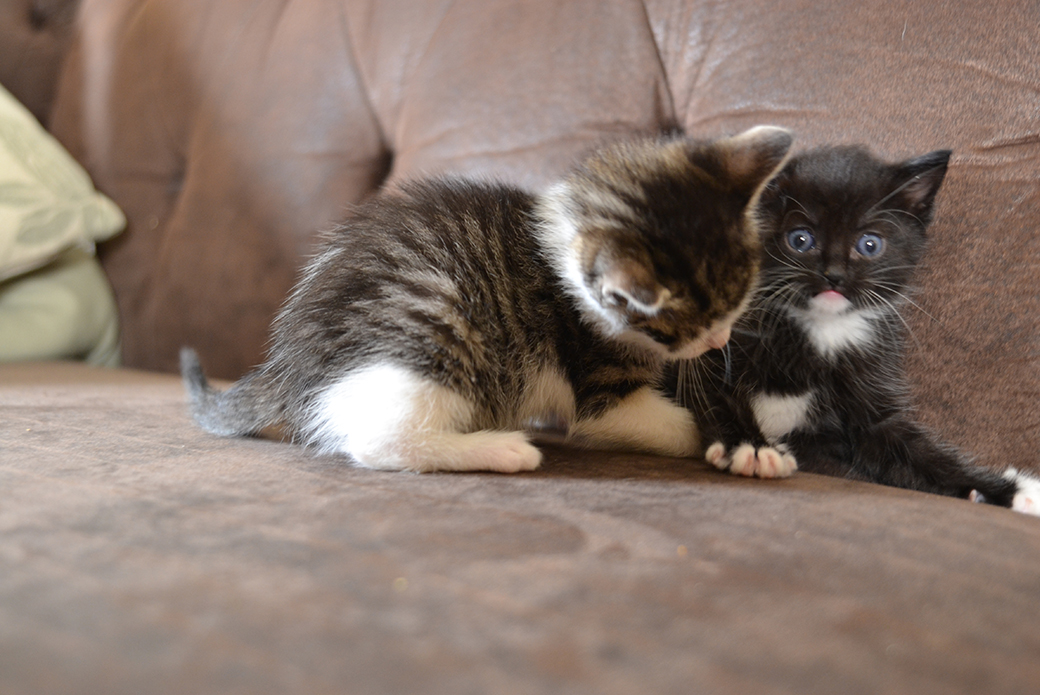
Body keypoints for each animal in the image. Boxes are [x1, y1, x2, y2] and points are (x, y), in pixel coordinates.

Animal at [183, 126, 790, 472]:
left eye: (736, 306)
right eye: (690, 326)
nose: (720, 339)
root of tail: (285, 362)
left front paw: (749, 431)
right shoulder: (596, 381)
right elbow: (649, 420)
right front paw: (744, 440)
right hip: (439, 319)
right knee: (379, 440)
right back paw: (499, 449)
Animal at [673, 145, 1040, 516]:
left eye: (869, 244)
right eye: (800, 239)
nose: (834, 275)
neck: (824, 330)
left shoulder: (872, 387)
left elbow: (917, 452)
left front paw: (1006, 490)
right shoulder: (711, 343)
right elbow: (716, 391)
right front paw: (752, 447)